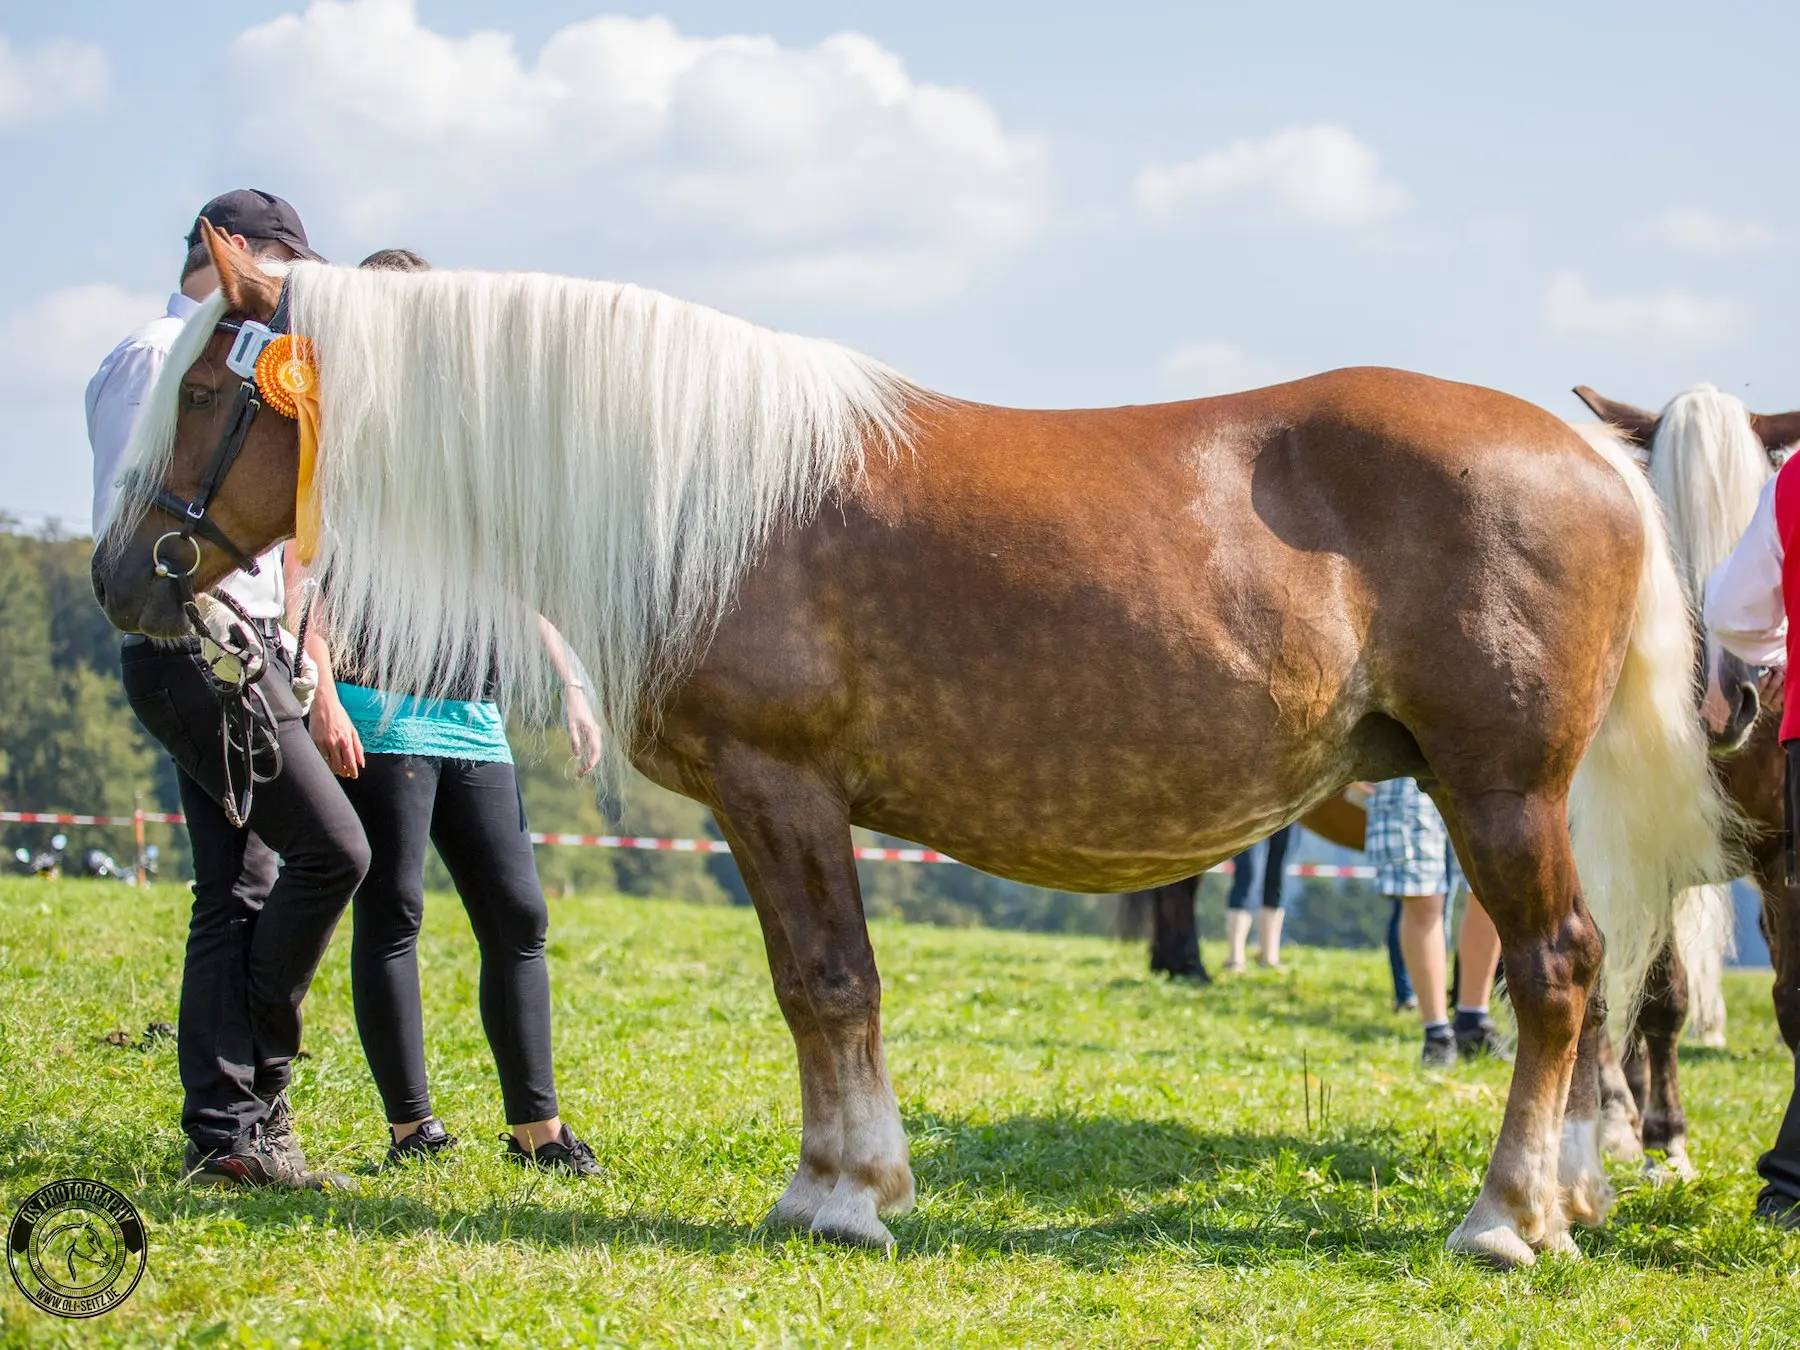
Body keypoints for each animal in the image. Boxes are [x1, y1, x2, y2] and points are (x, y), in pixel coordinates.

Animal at [98, 222, 1728, 1267]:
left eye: (207, 385)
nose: (124, 576)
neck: (703, 491)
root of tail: (1593, 457)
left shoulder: (779, 787)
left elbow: (825, 985)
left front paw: (834, 1194)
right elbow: (824, 989)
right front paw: (851, 1181)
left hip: (1498, 790)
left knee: (1558, 972)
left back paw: (1505, 1220)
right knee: (1593, 973)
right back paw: (1574, 1195)